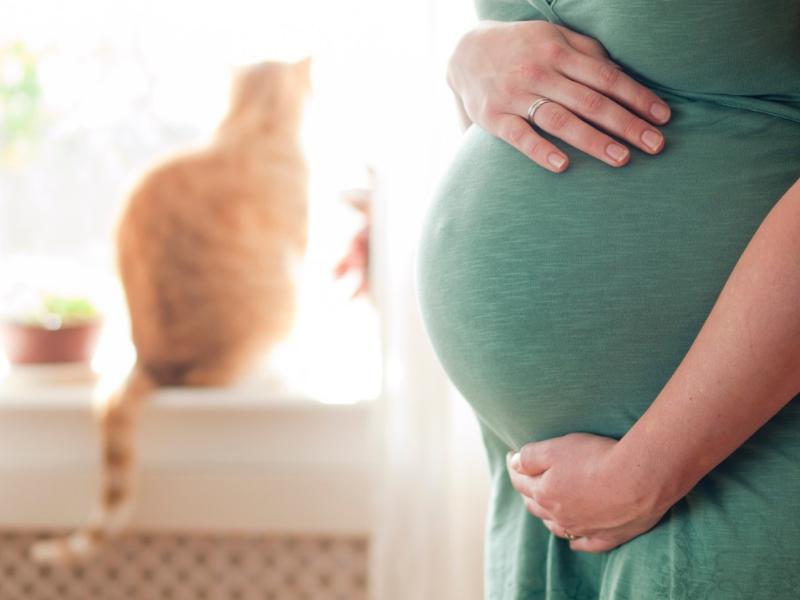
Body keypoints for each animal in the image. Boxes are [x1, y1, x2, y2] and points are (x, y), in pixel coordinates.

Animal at [31, 56, 312, 564]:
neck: (249, 123)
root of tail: (150, 363)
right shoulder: (298, 242)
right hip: (277, 310)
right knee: (215, 379)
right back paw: (273, 377)